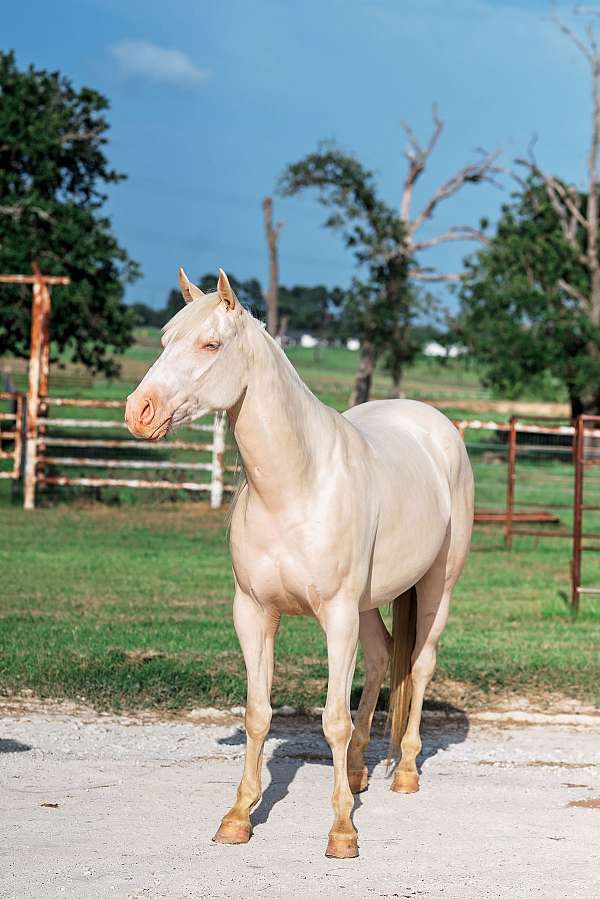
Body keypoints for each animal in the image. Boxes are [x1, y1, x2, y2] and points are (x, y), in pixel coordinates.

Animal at [125, 268, 474, 860]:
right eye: (165, 339)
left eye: (210, 344)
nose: (138, 412)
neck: (295, 485)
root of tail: (434, 424)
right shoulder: (254, 612)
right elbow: (258, 713)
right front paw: (239, 816)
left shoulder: (336, 615)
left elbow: (332, 719)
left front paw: (342, 831)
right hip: (366, 606)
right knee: (381, 658)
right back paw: (357, 771)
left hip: (435, 588)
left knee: (420, 664)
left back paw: (405, 772)